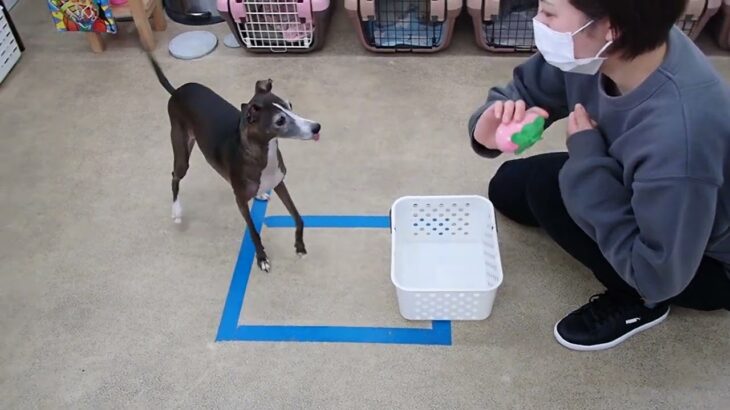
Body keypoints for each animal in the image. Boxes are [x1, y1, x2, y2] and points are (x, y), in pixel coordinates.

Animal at [147, 54, 318, 272]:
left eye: (290, 105)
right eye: (280, 121)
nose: (316, 127)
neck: (262, 152)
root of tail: (176, 91)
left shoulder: (279, 183)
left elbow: (298, 217)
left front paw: (300, 246)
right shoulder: (240, 202)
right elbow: (253, 232)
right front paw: (262, 258)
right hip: (182, 153)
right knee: (175, 177)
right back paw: (176, 210)